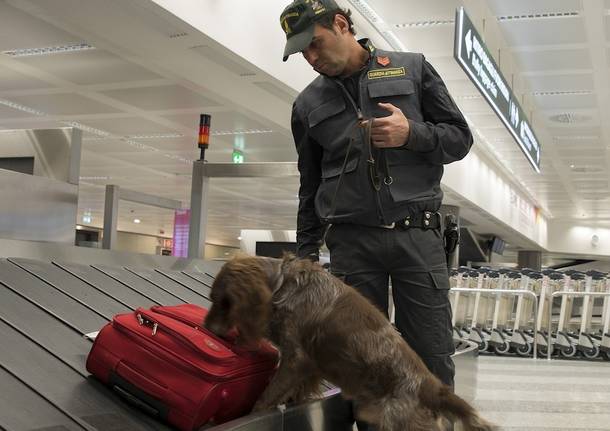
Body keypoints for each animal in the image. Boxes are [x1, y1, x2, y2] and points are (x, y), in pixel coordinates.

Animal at [204, 253, 494, 431]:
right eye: (212, 299)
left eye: (223, 301)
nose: (207, 328)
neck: (282, 286)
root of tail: (432, 386)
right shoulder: (309, 368)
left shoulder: (295, 359)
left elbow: (263, 400)